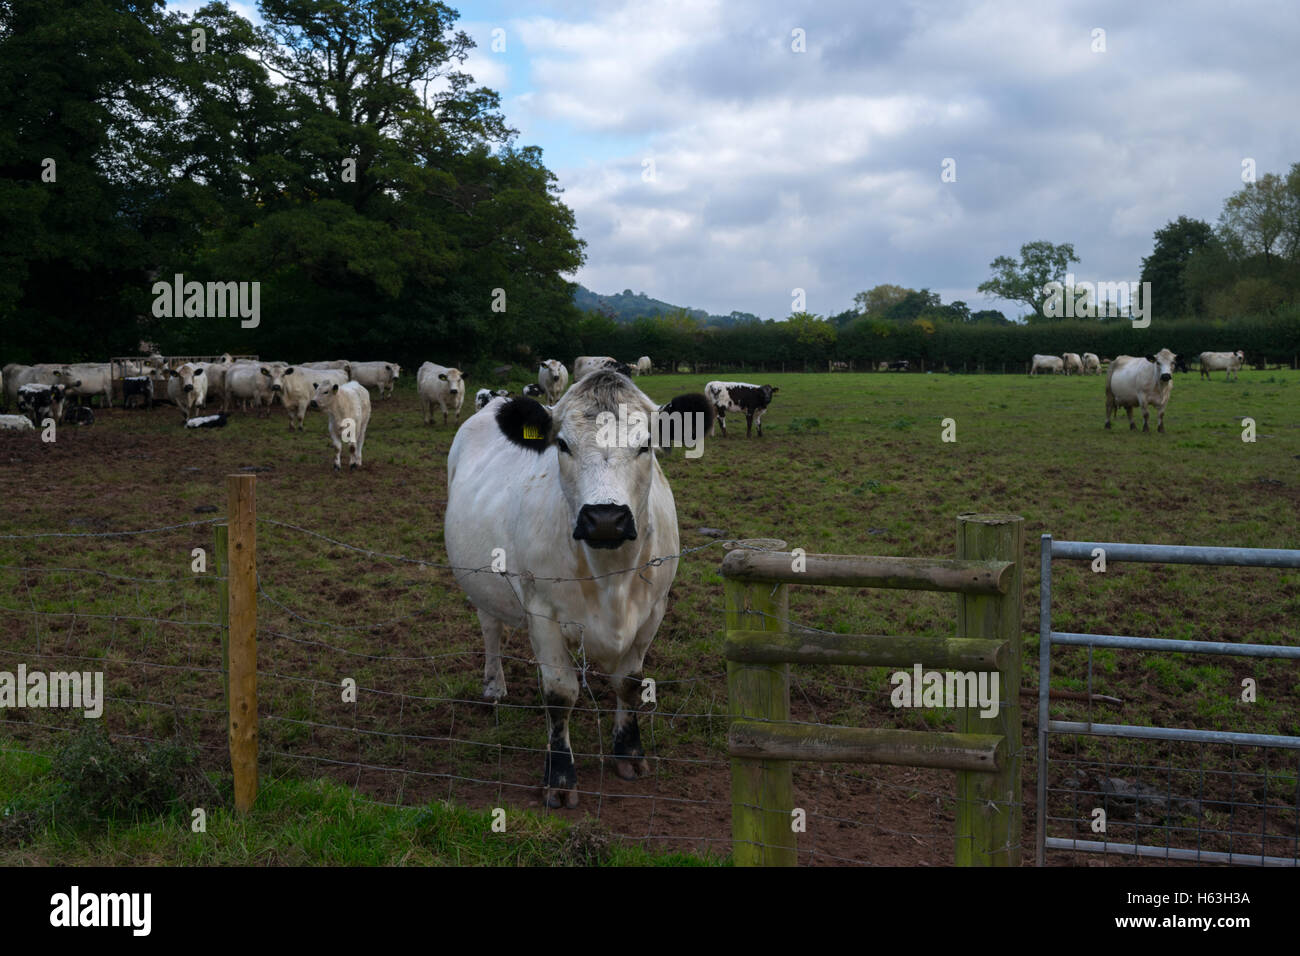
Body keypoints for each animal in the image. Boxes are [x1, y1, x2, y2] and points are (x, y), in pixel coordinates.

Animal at [444, 371, 712, 806]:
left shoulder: (654, 610)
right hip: (480, 578)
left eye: (645, 445)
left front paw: (629, 753)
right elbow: (560, 693)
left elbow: (629, 684)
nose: (604, 518)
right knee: (491, 628)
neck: (611, 578)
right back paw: (494, 685)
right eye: (563, 444)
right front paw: (559, 776)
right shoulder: (542, 612)